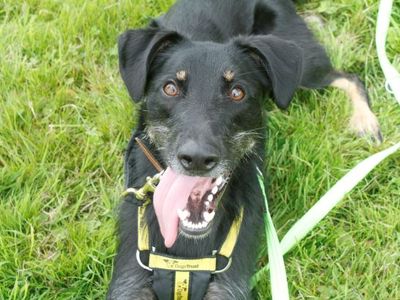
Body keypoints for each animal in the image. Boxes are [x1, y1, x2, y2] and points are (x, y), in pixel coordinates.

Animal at [107, 1, 382, 298]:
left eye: (237, 92)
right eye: (170, 88)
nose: (197, 159)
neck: (187, 253)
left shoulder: (229, 282)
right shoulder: (130, 279)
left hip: (304, 66)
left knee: (347, 77)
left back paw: (365, 121)